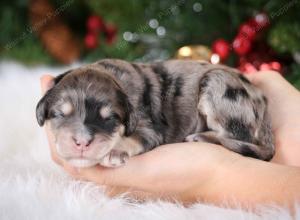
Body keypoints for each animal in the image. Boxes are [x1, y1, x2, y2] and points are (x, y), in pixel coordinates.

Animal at [35, 58, 274, 167]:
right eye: (60, 114)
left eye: (109, 119)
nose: (82, 142)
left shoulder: (151, 128)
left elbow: (134, 138)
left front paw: (115, 151)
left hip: (219, 85)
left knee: (237, 136)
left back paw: (201, 136)